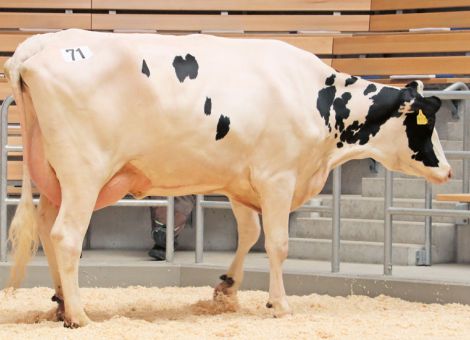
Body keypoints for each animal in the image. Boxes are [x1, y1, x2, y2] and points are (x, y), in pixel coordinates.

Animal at [3, 28, 452, 326]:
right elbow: (277, 244)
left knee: (47, 227)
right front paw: (280, 304)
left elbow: (249, 234)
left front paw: (227, 288)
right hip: (84, 172)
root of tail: (44, 43)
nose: (448, 170)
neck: (316, 98)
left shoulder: (241, 180)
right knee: (65, 235)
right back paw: (79, 314)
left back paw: (62, 302)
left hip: (54, 176)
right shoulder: (277, 177)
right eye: (426, 125)